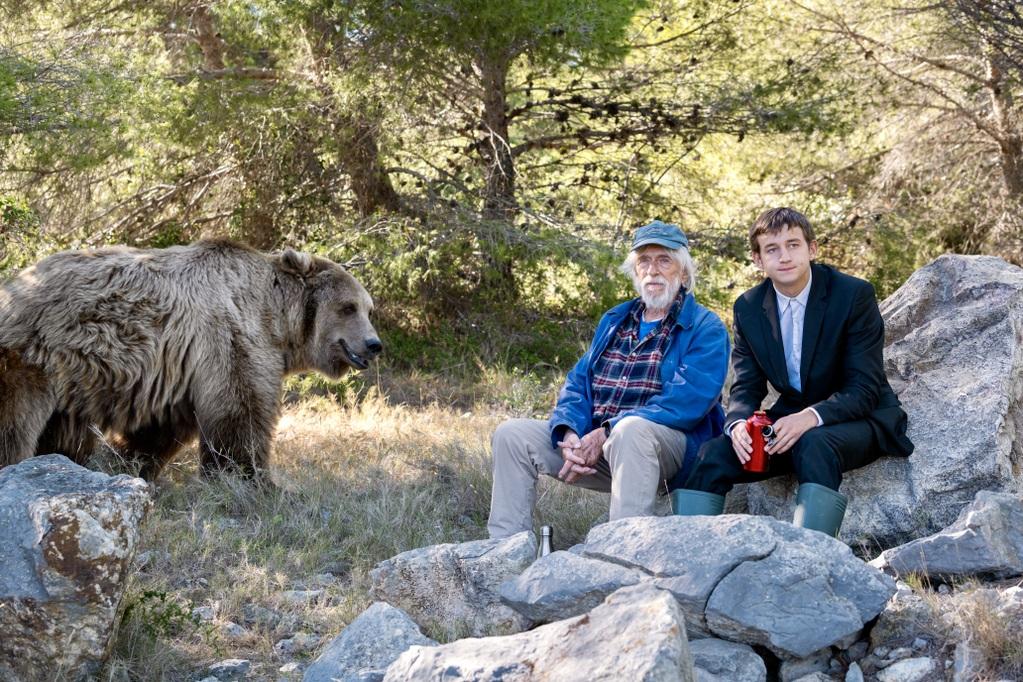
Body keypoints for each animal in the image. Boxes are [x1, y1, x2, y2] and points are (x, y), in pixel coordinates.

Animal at [0, 239, 381, 481]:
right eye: (348, 307)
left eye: (368, 308)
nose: (373, 344)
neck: (275, 319)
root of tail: (13, 285)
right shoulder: (231, 338)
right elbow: (241, 414)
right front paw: (254, 479)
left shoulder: (181, 372)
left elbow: (160, 431)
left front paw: (128, 463)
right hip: (34, 353)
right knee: (14, 420)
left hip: (73, 380)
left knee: (64, 429)